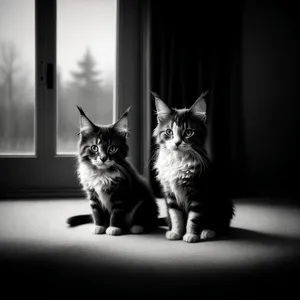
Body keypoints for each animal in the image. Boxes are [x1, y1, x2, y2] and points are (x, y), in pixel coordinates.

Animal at [65, 106, 159, 236]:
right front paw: (99, 226)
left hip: (145, 203)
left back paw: (137, 227)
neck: (101, 174)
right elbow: (97, 213)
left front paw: (114, 228)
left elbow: (116, 214)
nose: (103, 158)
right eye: (94, 148)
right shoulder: (93, 196)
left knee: (148, 219)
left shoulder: (120, 194)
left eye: (112, 148)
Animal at [152, 92, 234, 244]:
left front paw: (191, 235)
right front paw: (176, 233)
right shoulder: (170, 194)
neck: (177, 161)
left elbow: (193, 218)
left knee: (221, 225)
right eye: (169, 132)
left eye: (188, 132)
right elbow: (176, 216)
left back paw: (208, 231)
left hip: (224, 203)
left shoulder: (198, 192)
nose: (177, 143)